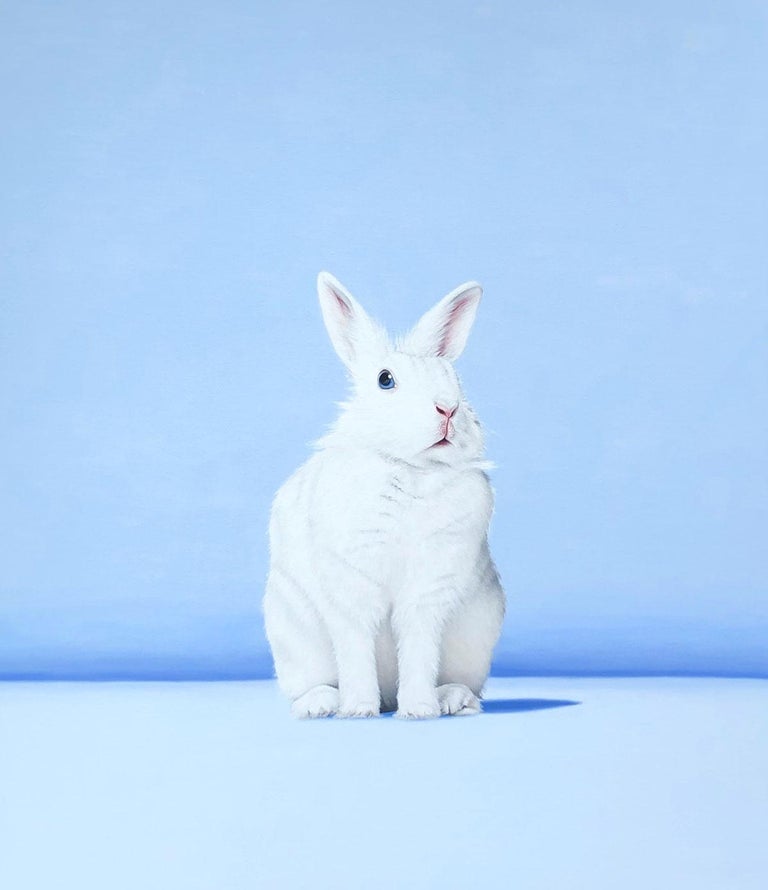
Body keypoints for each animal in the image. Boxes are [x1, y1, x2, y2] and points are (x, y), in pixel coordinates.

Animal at [263, 272, 505, 719]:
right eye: (385, 379)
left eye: (455, 380)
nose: (448, 409)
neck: (411, 470)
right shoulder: (351, 588)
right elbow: (356, 647)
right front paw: (359, 709)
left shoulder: (428, 593)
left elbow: (419, 648)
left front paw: (419, 710)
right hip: (295, 643)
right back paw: (323, 704)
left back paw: (451, 699)